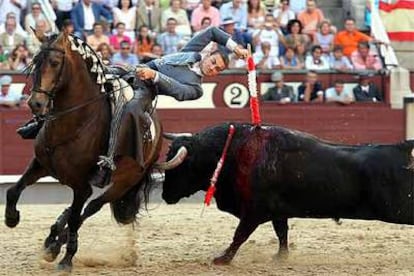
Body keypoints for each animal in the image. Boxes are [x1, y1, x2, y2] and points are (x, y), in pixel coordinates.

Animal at [3, 30, 168, 272]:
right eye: (34, 62)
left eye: (54, 63)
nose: (36, 103)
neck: (73, 120)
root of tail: (158, 130)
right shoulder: (41, 164)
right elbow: (14, 190)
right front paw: (11, 218)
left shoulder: (81, 186)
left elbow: (75, 217)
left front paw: (67, 260)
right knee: (76, 211)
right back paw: (51, 241)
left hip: (122, 183)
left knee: (90, 208)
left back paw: (55, 246)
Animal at [158, 123, 414, 266]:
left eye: (181, 166)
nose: (165, 195)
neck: (232, 152)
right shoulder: (277, 211)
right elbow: (282, 233)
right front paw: (281, 257)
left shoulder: (253, 211)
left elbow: (239, 235)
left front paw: (222, 259)